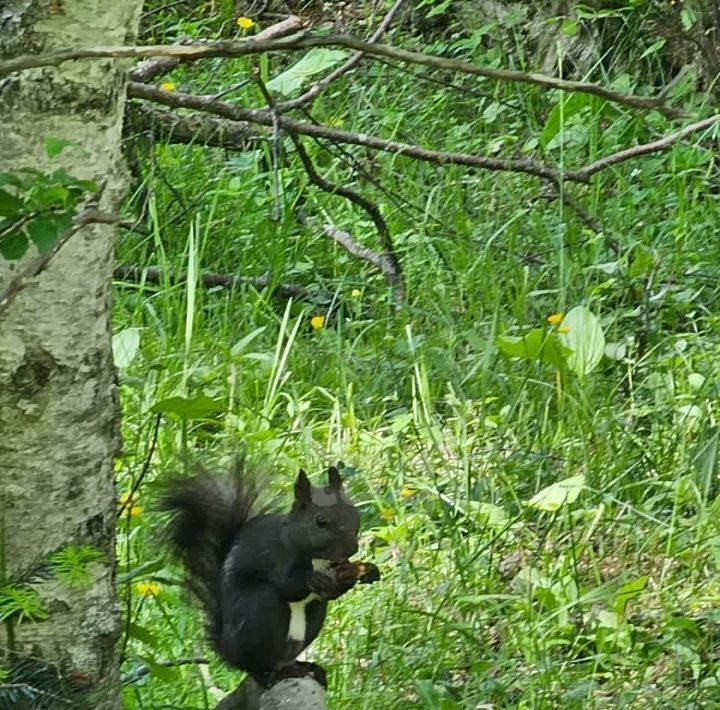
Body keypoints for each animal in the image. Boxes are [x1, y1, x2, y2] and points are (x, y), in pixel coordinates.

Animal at [161, 462, 380, 688]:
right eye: (320, 521)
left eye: (353, 510)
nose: (352, 548)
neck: (317, 559)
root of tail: (227, 650)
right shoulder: (275, 556)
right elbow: (287, 586)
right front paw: (313, 579)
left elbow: (335, 591)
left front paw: (368, 570)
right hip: (259, 611)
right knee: (256, 665)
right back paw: (271, 674)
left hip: (313, 617)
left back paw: (305, 667)